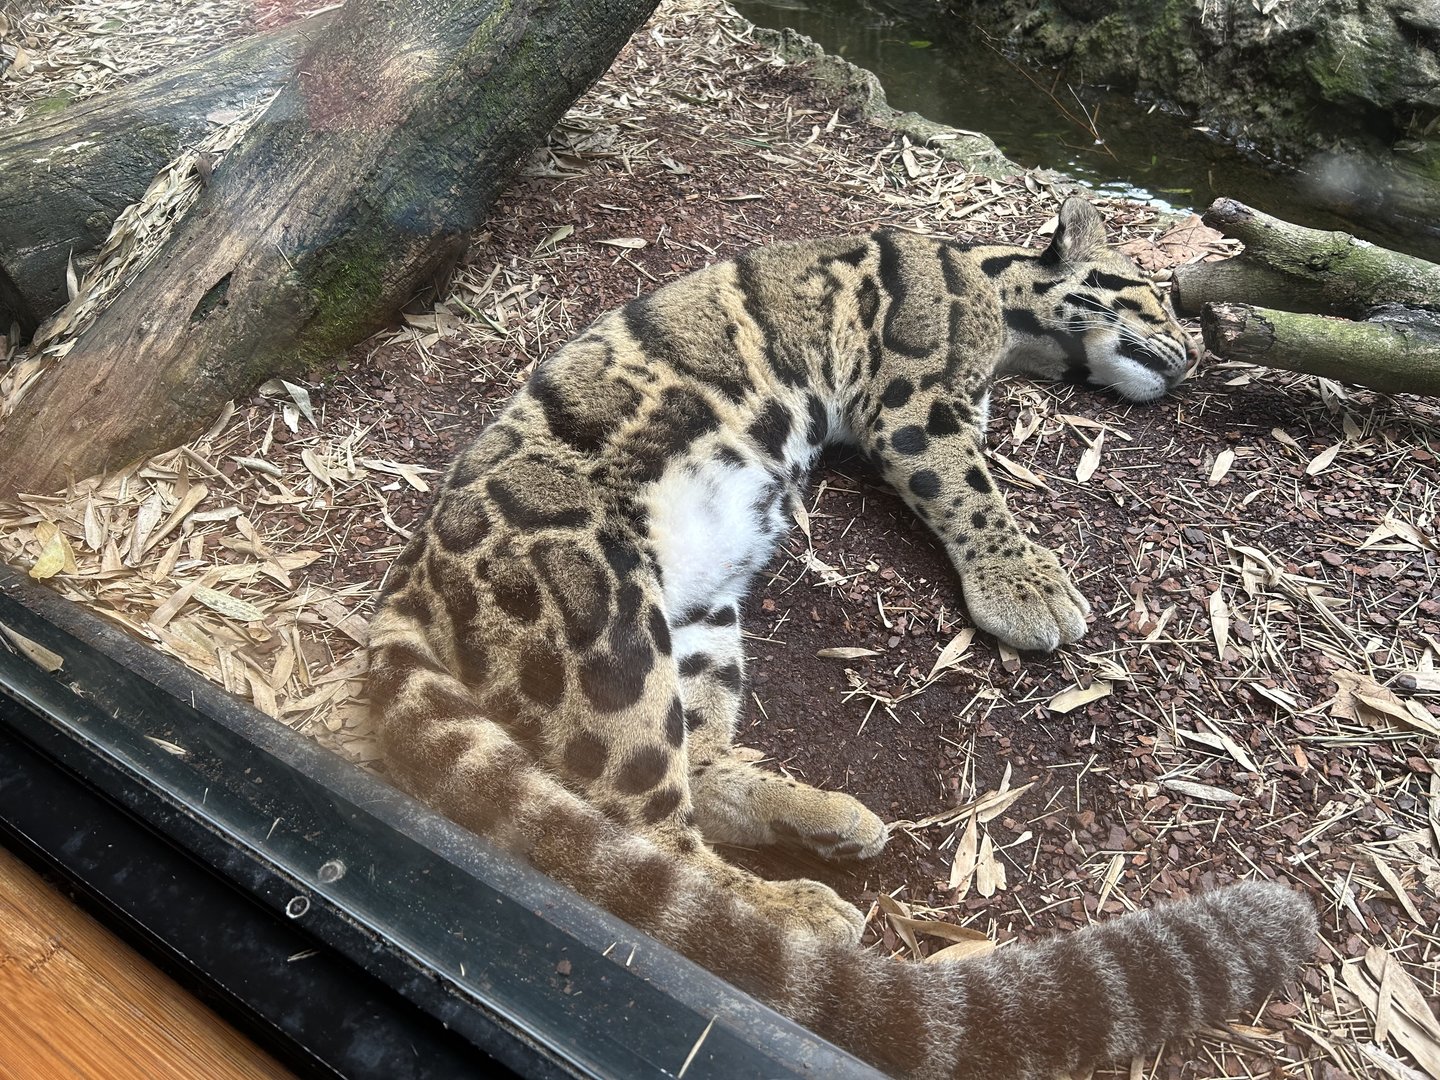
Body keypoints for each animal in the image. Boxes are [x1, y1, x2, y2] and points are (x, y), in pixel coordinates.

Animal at [367, 197, 1314, 1080]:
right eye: (1157, 297)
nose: (1195, 357)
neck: (995, 296)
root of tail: (405, 582)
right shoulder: (915, 403)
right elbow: (972, 491)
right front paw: (1025, 584)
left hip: (699, 619)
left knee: (697, 776)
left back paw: (825, 822)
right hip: (606, 619)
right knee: (646, 844)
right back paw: (796, 913)